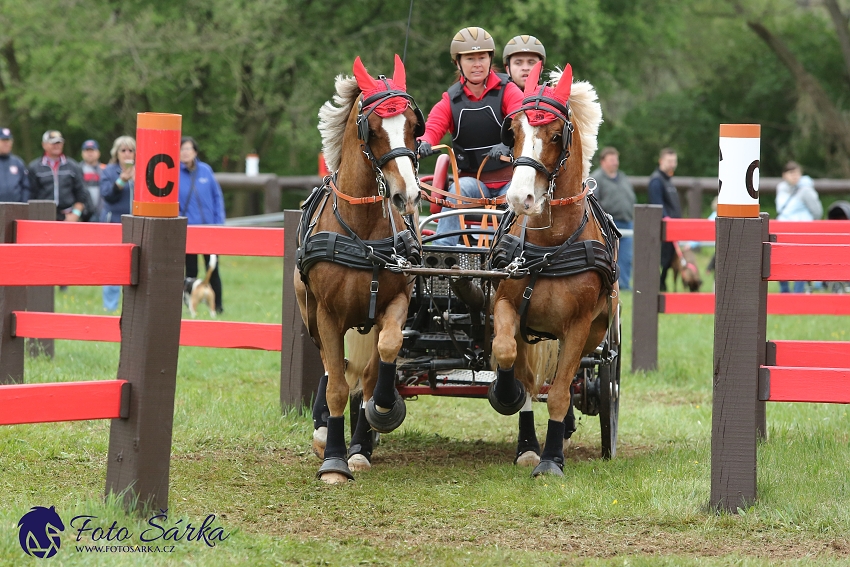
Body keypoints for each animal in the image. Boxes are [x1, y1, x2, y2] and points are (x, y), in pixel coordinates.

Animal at [294, 56, 424, 484]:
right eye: (374, 128)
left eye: (413, 125)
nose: (408, 195)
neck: (362, 231)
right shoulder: (327, 316)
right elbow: (336, 385)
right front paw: (333, 461)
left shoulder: (396, 302)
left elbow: (385, 353)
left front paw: (382, 411)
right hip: (311, 317)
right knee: (332, 371)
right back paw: (327, 435)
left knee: (365, 371)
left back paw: (362, 443)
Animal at [486, 62, 620, 478]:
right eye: (513, 132)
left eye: (556, 134)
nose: (520, 197)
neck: (548, 247)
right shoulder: (506, 305)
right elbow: (507, 353)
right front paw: (505, 392)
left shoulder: (577, 327)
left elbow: (561, 392)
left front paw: (551, 459)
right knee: (532, 382)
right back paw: (528, 441)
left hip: (593, 335)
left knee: (569, 379)